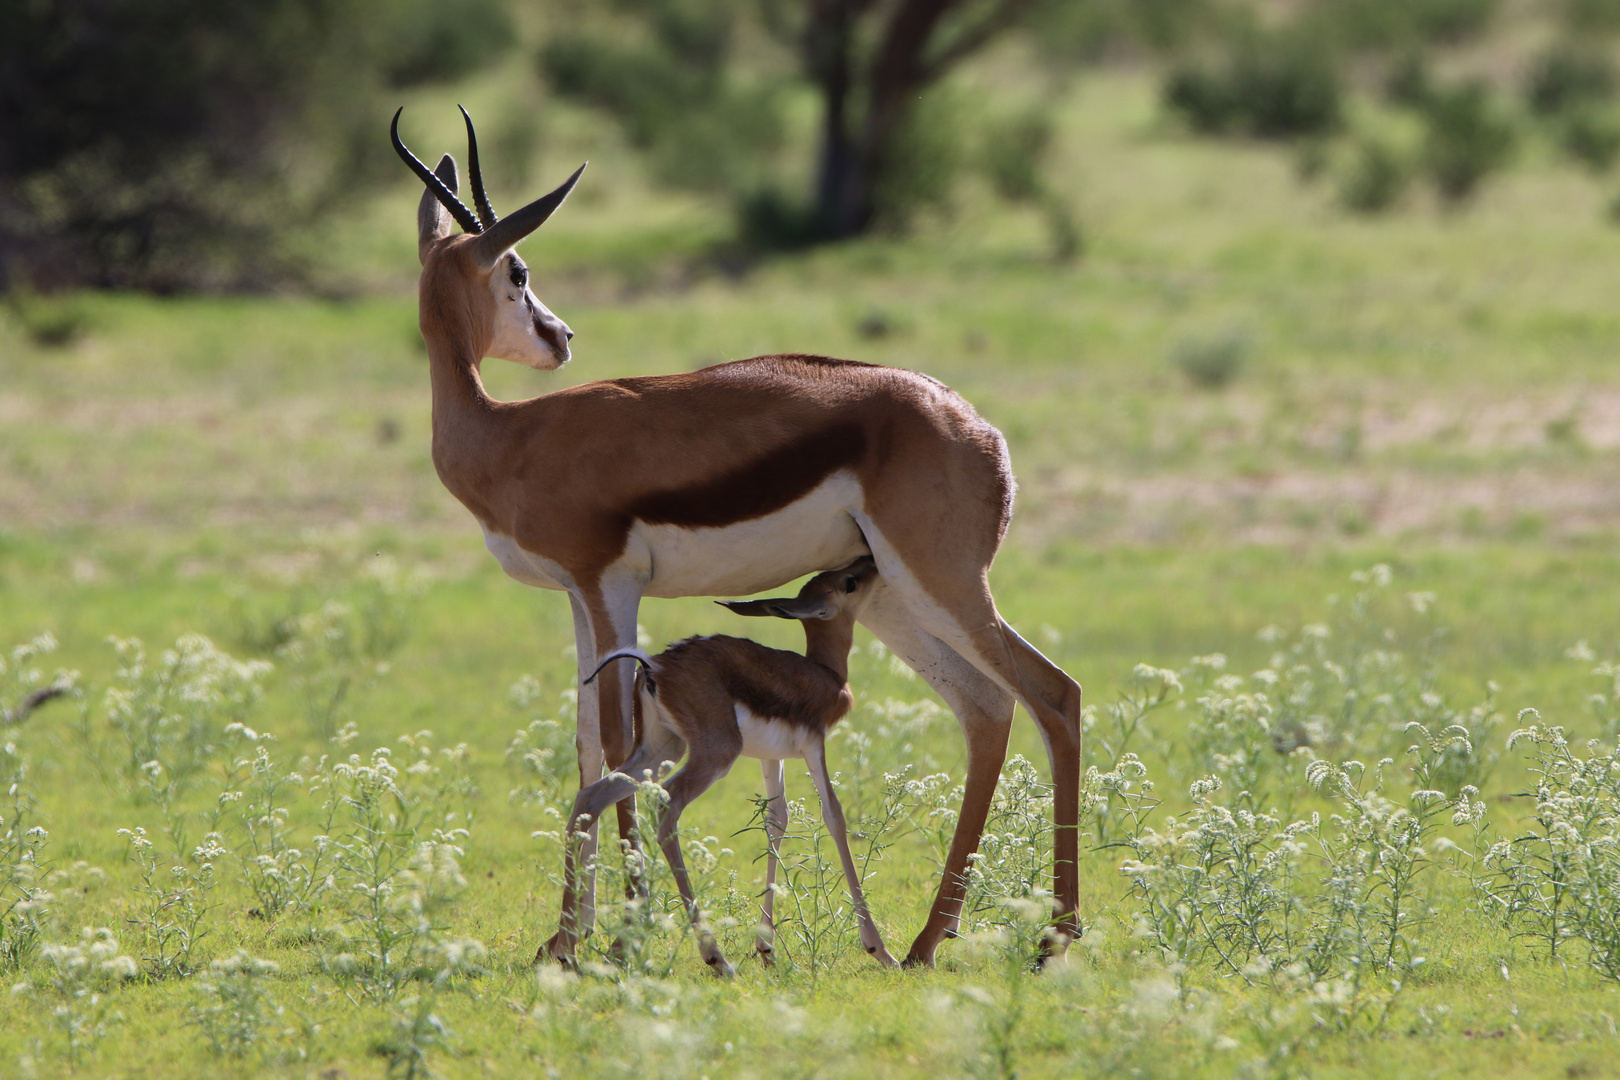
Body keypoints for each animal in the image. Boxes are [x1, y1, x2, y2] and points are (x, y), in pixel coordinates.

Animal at [550, 563, 894, 977]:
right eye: (849, 583)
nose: (871, 564)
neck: (825, 673)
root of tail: (656, 664)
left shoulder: (770, 756)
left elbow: (777, 819)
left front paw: (767, 948)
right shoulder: (815, 746)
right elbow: (834, 817)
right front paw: (879, 949)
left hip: (661, 749)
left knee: (592, 796)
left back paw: (568, 947)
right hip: (714, 754)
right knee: (666, 805)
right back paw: (716, 958)